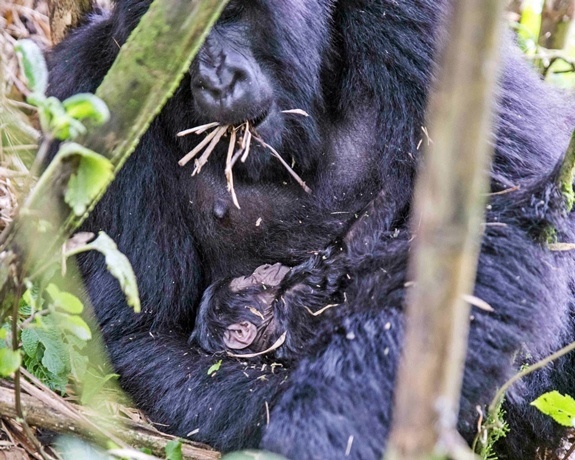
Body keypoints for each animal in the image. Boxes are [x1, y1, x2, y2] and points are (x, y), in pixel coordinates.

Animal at [47, 0, 575, 458]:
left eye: (230, 13)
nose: (216, 79)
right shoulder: (90, 87)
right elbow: (139, 336)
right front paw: (323, 425)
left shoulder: (420, 18)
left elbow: (503, 207)